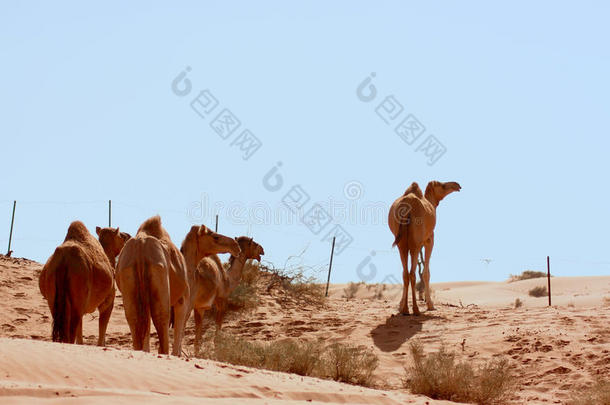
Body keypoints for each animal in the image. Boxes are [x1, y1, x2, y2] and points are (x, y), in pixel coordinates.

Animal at [115, 215, 189, 354]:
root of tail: (140, 246)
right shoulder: (183, 298)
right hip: (160, 273)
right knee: (161, 317)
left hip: (128, 277)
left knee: (134, 319)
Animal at [388, 180, 458, 316]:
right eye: (442, 185)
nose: (457, 186)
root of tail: (408, 204)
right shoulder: (429, 240)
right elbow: (426, 272)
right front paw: (431, 305)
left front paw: (400, 305)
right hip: (415, 243)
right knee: (412, 273)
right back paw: (415, 310)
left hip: (401, 243)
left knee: (405, 273)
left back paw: (405, 310)